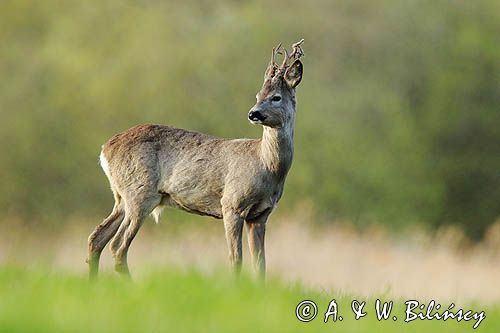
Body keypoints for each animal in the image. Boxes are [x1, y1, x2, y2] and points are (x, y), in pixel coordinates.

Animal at [86, 38, 304, 278]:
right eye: (257, 96)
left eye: (276, 97)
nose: (253, 113)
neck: (267, 166)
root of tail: (105, 149)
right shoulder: (231, 204)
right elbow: (235, 259)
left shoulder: (260, 215)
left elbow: (261, 264)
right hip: (140, 194)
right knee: (117, 246)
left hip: (121, 197)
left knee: (97, 237)